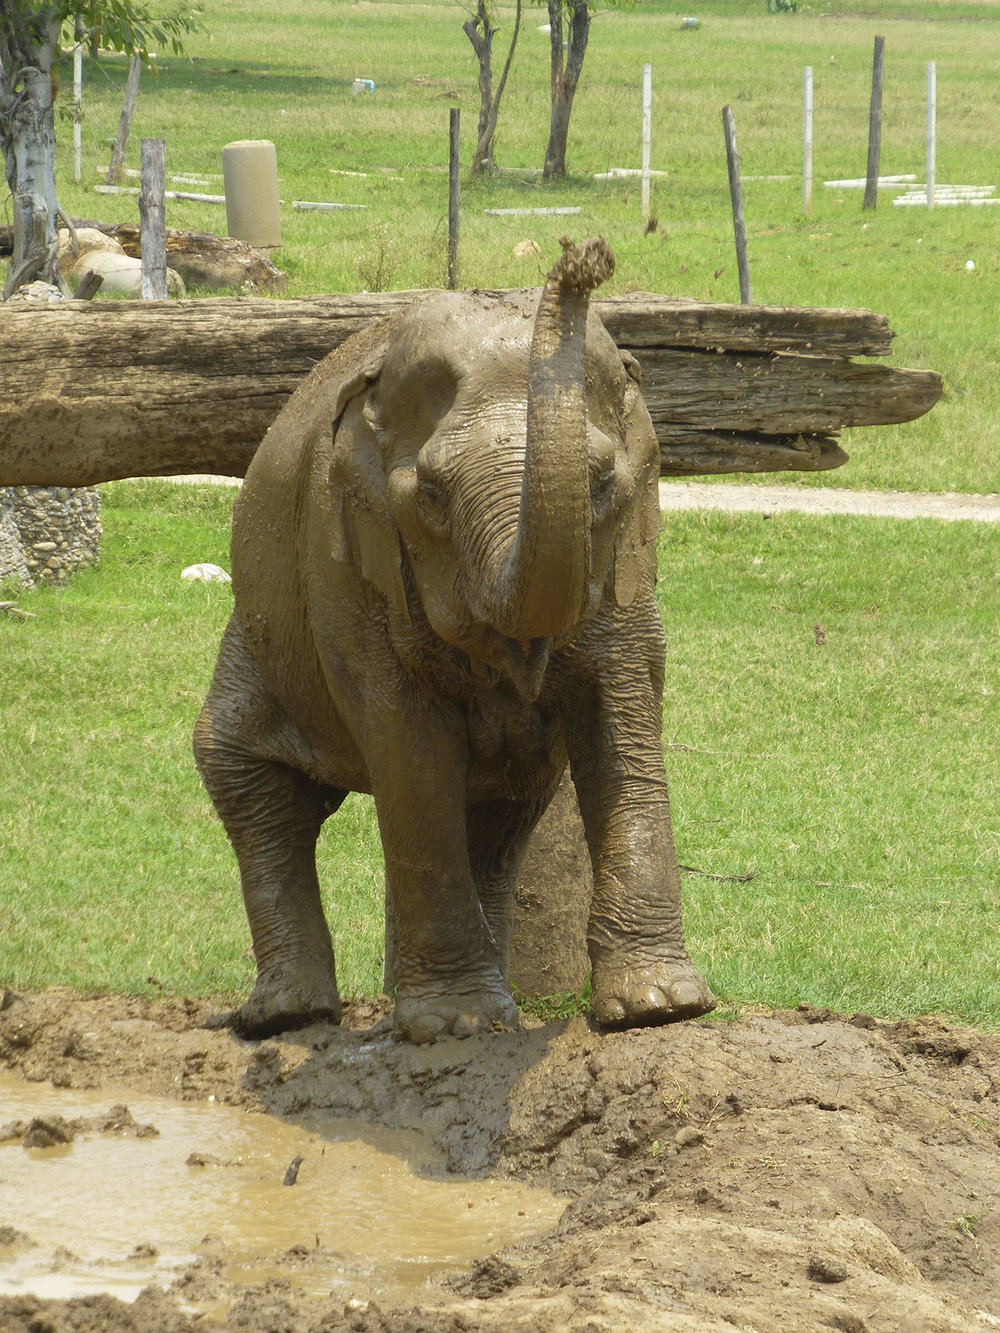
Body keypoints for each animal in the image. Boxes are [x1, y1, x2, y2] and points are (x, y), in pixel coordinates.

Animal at [193, 242, 720, 1050]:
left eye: (604, 485)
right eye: (432, 497)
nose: (582, 258)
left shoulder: (629, 575)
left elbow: (622, 720)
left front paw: (662, 1008)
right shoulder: (348, 568)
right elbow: (410, 755)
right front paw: (451, 1025)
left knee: (499, 819)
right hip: (256, 640)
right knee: (251, 785)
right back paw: (291, 1015)